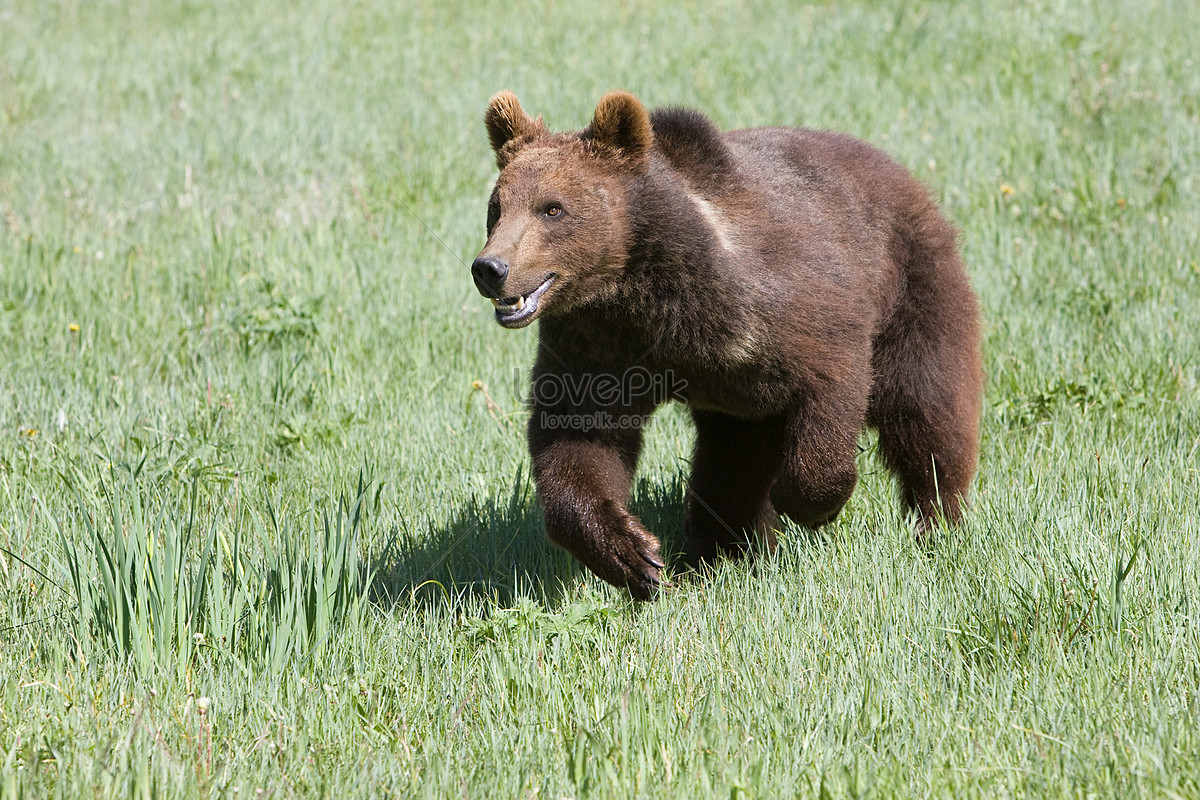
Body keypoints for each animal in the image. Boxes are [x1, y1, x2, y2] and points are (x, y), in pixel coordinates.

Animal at [470, 89, 984, 599]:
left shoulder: (789, 306)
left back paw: (936, 521)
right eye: (497, 206)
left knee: (925, 406)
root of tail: (898, 170)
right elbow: (578, 436)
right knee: (730, 466)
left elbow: (832, 385)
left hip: (912, 284)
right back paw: (725, 552)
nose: (490, 268)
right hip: (739, 404)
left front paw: (807, 503)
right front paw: (636, 556)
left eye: (552, 208)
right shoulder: (597, 347)